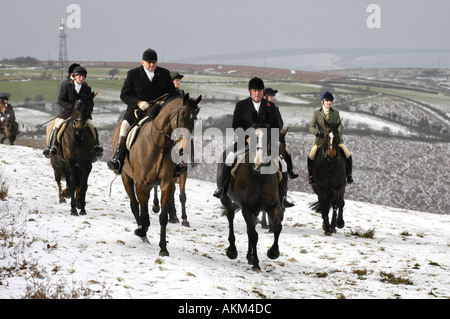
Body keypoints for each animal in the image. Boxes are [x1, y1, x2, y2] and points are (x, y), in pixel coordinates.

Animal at [110, 94, 200, 256]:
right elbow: (143, 213)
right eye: (183, 117)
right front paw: (141, 231)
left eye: (194, 118)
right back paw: (141, 230)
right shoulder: (140, 183)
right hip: (126, 177)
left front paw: (163, 248)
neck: (159, 145)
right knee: (134, 204)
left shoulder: (166, 183)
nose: (184, 149)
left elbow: (163, 217)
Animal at [216, 119, 284, 272]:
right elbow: (254, 235)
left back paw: (250, 256)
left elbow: (277, 227)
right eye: (251, 137)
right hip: (227, 200)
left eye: (268, 137)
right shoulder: (246, 208)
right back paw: (232, 251)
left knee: (249, 228)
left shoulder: (273, 206)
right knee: (231, 218)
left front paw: (273, 252)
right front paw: (257, 263)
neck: (259, 177)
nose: (258, 163)